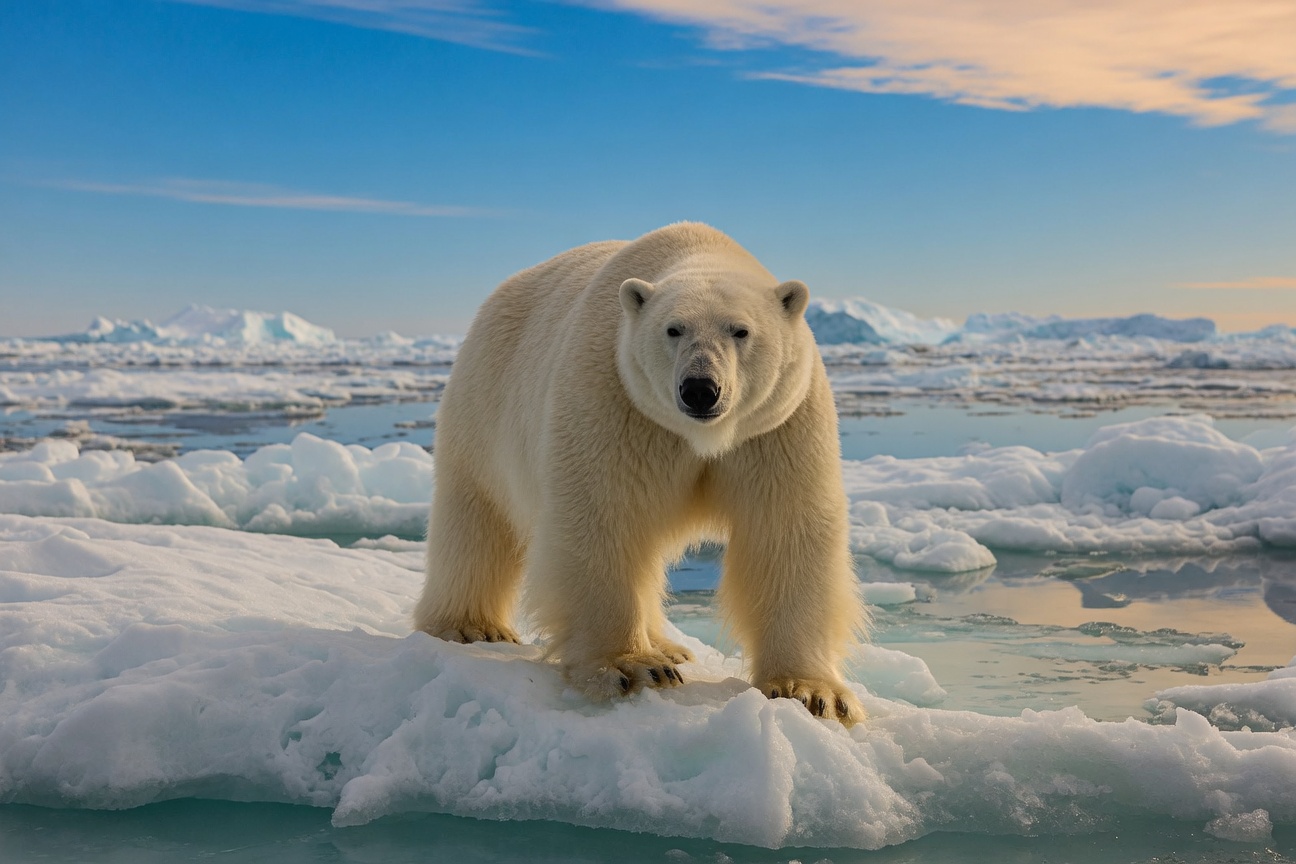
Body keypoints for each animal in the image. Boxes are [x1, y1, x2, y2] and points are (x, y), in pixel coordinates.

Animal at [414, 222, 866, 725]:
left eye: (741, 330)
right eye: (673, 329)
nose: (700, 389)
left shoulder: (776, 426)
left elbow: (786, 529)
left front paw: (811, 693)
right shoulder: (616, 399)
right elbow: (605, 515)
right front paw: (630, 667)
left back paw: (670, 647)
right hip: (485, 407)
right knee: (476, 521)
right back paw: (473, 626)